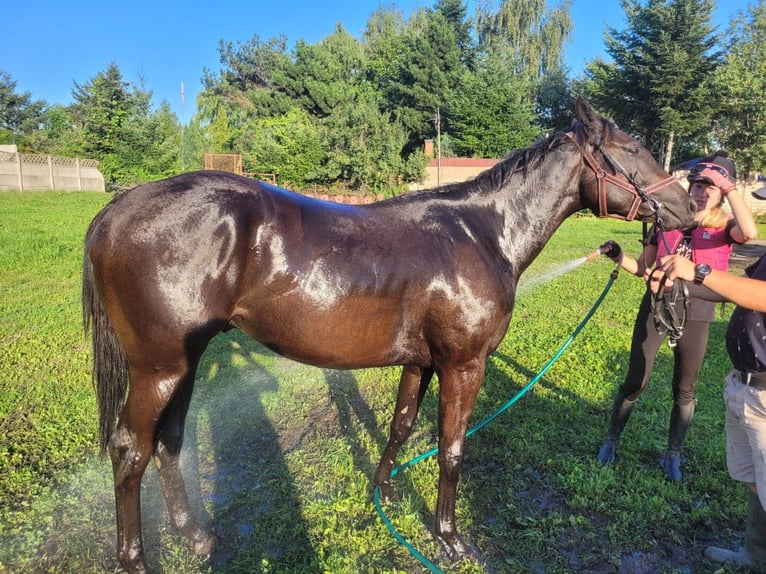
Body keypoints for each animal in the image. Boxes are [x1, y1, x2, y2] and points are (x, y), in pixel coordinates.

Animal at [82, 97, 696, 572]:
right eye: (633, 150)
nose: (689, 211)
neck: (481, 233)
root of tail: (118, 206)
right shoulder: (463, 365)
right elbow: (451, 449)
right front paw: (450, 538)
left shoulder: (421, 362)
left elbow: (401, 426)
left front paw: (387, 492)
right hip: (159, 369)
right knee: (130, 449)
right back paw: (135, 559)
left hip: (184, 363)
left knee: (168, 442)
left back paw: (195, 535)